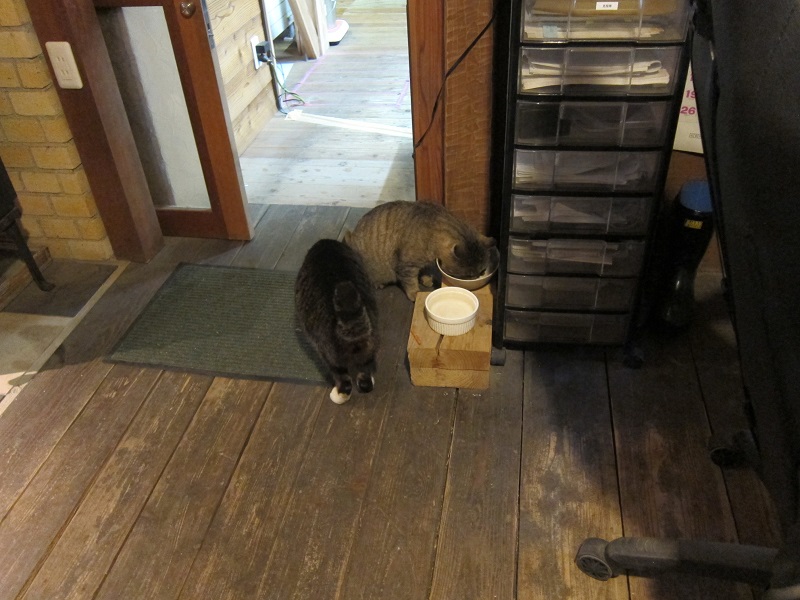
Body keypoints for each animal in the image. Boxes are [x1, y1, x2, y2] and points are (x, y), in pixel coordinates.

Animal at [343, 200, 496, 301]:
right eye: (468, 275)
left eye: (482, 271)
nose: (476, 278)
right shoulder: (406, 266)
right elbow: (410, 282)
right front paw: (414, 294)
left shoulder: (424, 262)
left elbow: (424, 272)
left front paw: (426, 279)